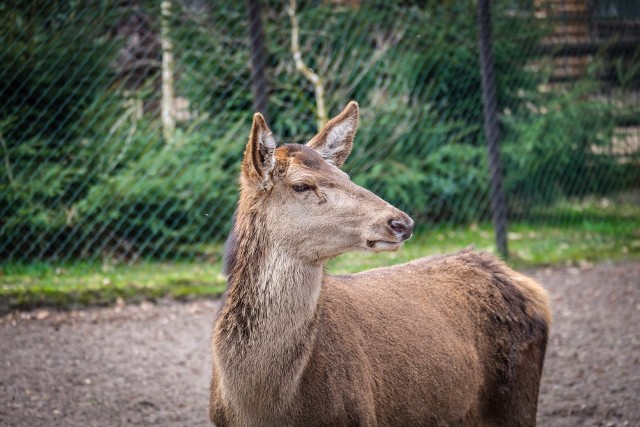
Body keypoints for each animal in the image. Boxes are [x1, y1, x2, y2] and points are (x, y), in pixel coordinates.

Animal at [209, 102, 552, 426]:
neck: (263, 407)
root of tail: (527, 285)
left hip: (517, 403)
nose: (401, 222)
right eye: (302, 185)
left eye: (344, 176)